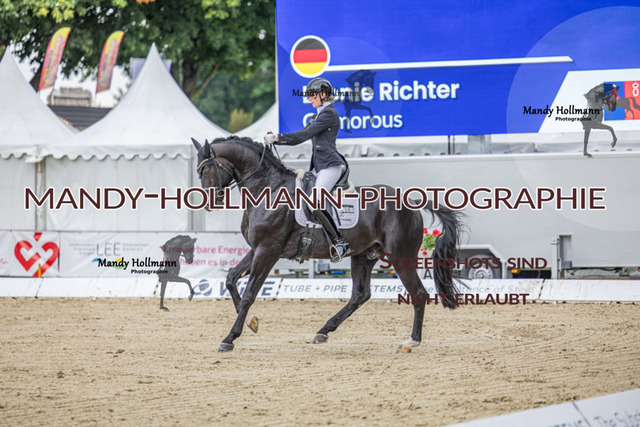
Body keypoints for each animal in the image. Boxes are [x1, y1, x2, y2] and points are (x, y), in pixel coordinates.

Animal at [191, 136, 464, 353]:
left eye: (206, 170)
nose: (209, 203)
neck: (268, 189)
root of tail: (412, 201)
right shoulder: (257, 249)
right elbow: (230, 279)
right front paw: (251, 323)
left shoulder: (268, 250)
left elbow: (249, 293)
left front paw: (230, 338)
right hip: (364, 255)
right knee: (360, 295)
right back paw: (323, 331)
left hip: (400, 256)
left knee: (418, 294)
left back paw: (411, 341)